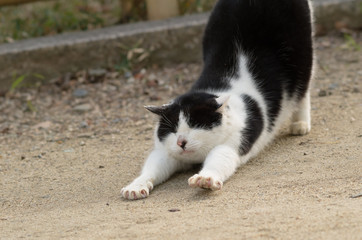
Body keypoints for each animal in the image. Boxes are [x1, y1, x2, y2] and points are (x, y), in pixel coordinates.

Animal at [121, 0, 314, 200]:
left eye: (195, 124)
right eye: (173, 129)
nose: (181, 142)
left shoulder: (234, 141)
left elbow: (219, 159)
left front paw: (206, 178)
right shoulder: (164, 152)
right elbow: (153, 167)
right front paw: (136, 186)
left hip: (302, 56)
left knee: (303, 89)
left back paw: (300, 124)